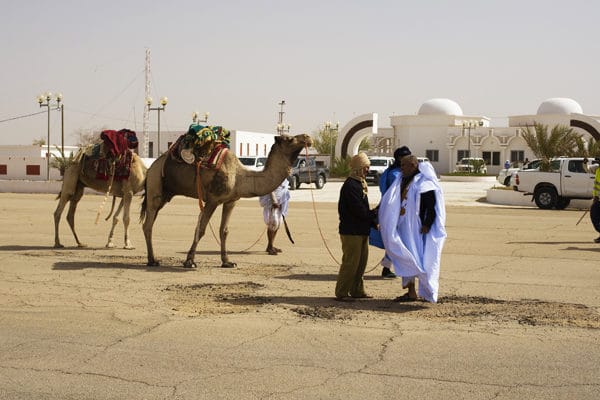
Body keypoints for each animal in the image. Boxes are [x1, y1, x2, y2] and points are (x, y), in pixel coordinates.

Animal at [139, 133, 310, 268]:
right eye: (290, 139)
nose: (307, 137)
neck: (240, 177)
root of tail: (151, 167)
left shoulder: (230, 201)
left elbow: (224, 230)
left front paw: (227, 261)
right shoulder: (212, 200)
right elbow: (201, 229)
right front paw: (189, 261)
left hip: (164, 195)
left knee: (150, 222)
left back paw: (152, 258)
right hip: (155, 187)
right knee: (148, 225)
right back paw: (152, 260)